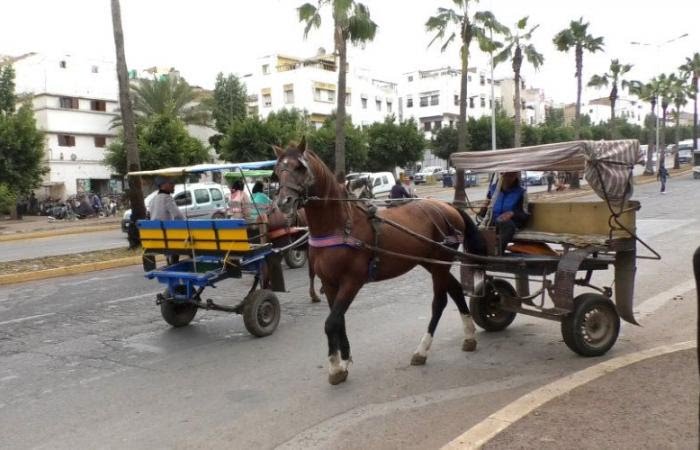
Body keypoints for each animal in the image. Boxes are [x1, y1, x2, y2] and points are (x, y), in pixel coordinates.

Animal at [274, 140, 486, 384]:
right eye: (277, 171)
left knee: (439, 302)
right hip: (429, 262)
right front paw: (344, 360)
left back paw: (422, 349)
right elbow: (339, 320)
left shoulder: (351, 282)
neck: (341, 225)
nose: (284, 202)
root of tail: (448, 207)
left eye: (300, 168)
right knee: (456, 289)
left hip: (440, 261)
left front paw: (335, 367)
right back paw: (469, 335)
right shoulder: (329, 283)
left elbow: (331, 322)